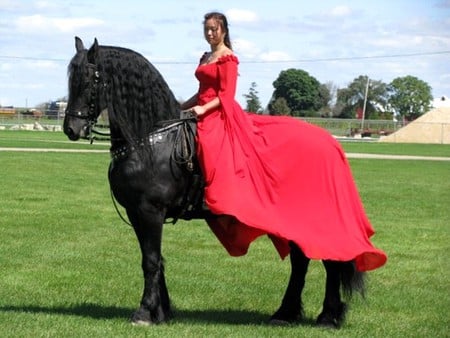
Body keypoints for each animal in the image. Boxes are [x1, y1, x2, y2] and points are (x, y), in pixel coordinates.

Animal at [64, 37, 366, 328]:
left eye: (90, 80)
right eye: (71, 79)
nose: (70, 128)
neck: (152, 141)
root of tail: (330, 143)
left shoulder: (150, 211)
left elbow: (150, 261)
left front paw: (144, 313)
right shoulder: (137, 212)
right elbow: (157, 260)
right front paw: (162, 312)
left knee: (330, 261)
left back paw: (327, 317)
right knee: (300, 261)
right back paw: (286, 313)